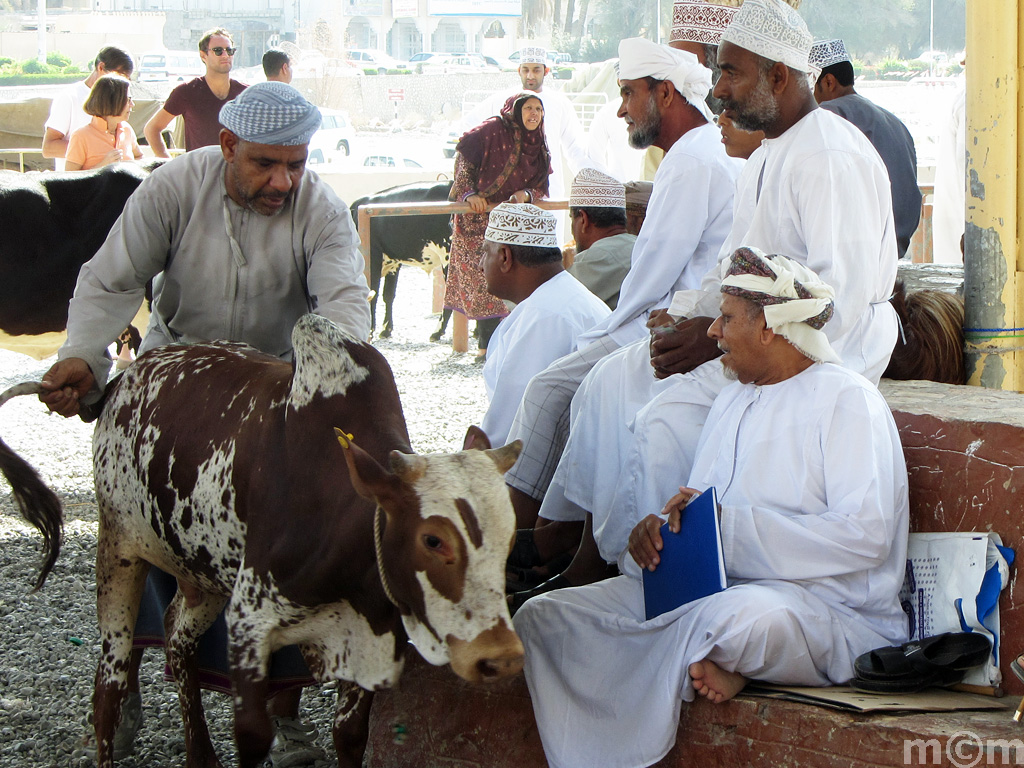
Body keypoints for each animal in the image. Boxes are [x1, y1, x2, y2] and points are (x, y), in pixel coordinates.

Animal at [0, 313, 524, 768]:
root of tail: (118, 383)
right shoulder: (250, 621)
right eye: (432, 540)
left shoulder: (369, 636)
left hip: (204, 577)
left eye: (508, 536)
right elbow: (252, 736)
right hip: (119, 552)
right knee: (108, 687)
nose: (499, 657)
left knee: (177, 641)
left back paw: (201, 754)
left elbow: (350, 736)